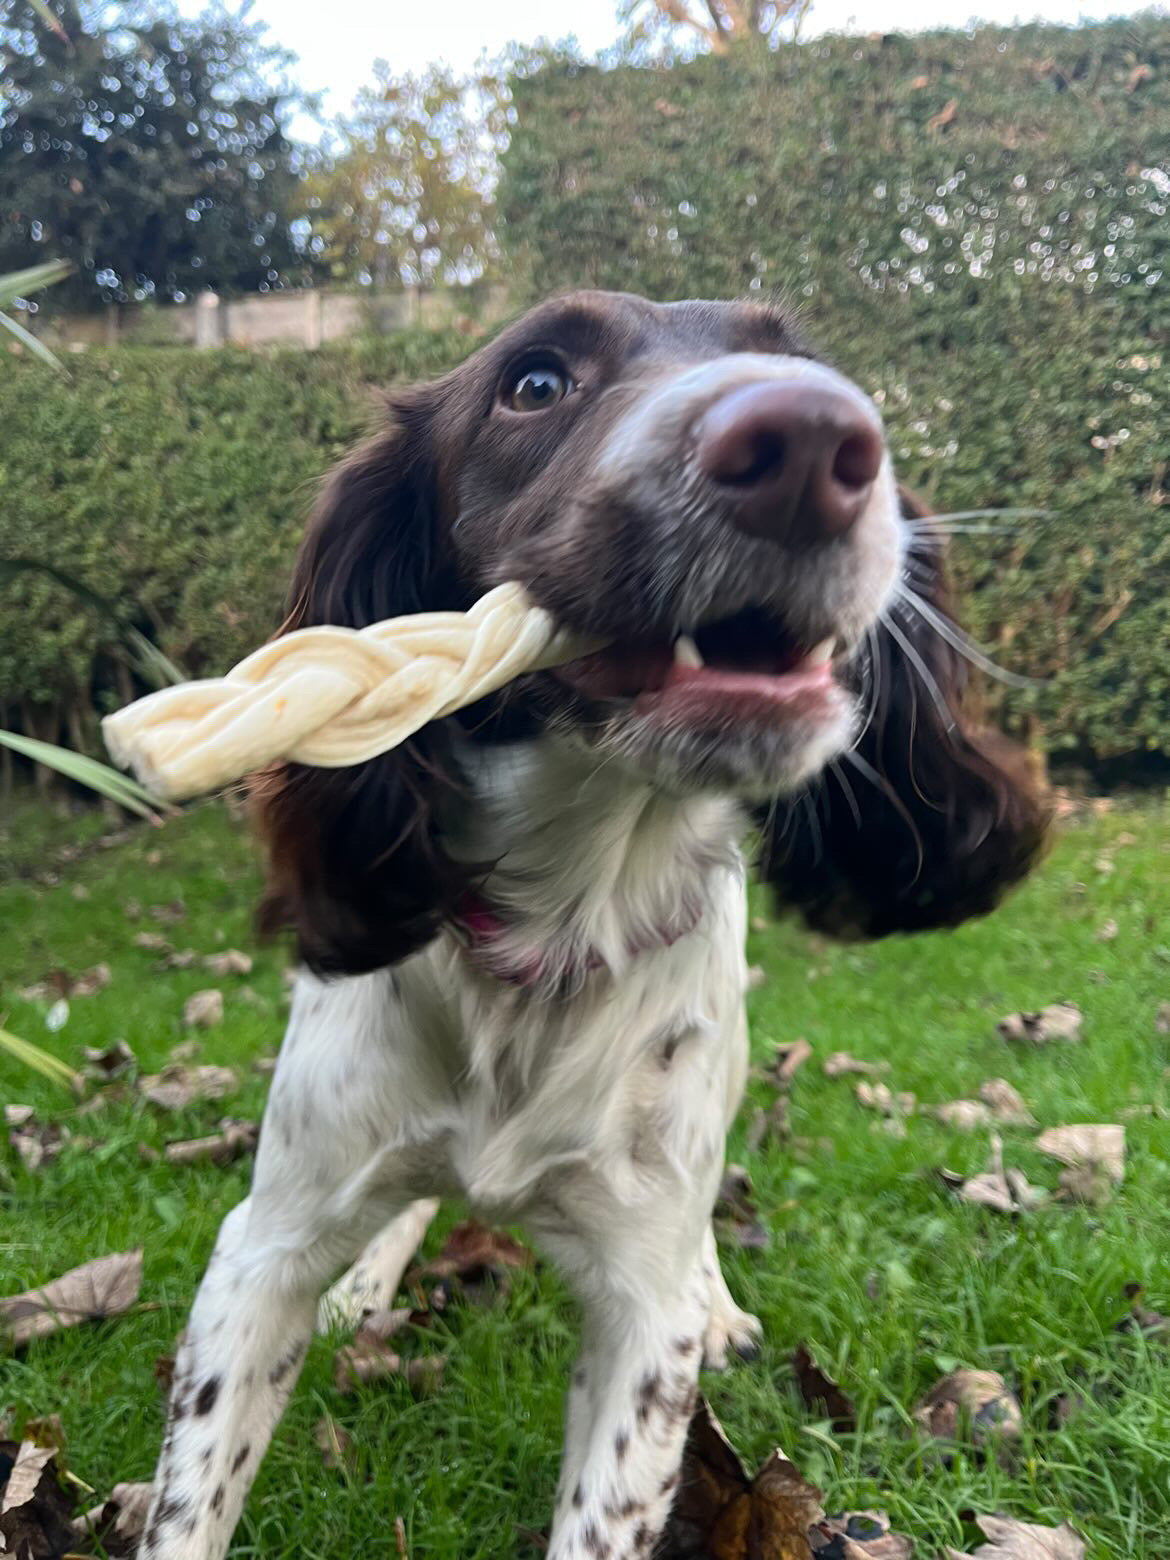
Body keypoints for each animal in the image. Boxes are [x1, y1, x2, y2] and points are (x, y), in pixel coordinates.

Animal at [141, 293, 1048, 1560]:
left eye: (814, 364)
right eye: (534, 384)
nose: (812, 444)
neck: (555, 931)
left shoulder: (639, 1319)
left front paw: (711, 1305)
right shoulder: (259, 1251)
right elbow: (192, 1500)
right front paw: (360, 1276)